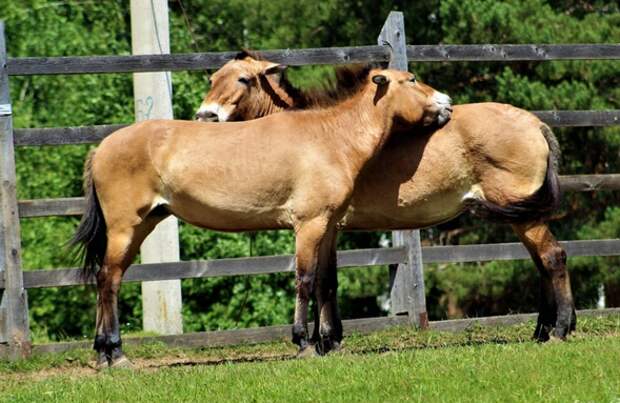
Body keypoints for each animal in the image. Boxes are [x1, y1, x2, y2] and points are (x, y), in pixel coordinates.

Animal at [72, 67, 452, 370]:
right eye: (411, 80)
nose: (447, 104)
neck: (329, 137)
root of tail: (101, 147)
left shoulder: (328, 227)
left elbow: (326, 282)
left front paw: (328, 343)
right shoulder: (309, 225)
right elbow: (305, 280)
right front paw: (304, 343)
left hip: (141, 226)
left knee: (106, 279)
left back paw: (103, 353)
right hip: (125, 229)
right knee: (109, 281)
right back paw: (116, 354)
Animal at [197, 51, 576, 354]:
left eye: (244, 79)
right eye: (213, 79)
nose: (205, 117)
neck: (326, 133)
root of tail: (535, 123)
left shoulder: (323, 224)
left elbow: (320, 281)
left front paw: (323, 340)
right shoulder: (328, 228)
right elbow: (326, 281)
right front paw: (328, 339)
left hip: (524, 215)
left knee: (553, 258)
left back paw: (560, 329)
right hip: (522, 215)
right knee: (542, 263)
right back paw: (542, 331)